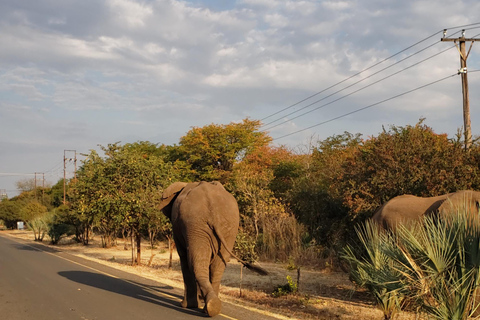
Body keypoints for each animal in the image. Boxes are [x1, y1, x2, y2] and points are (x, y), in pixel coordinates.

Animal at [159, 181, 268, 316]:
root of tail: (214, 212)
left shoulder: (178, 228)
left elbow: (183, 257)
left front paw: (186, 305)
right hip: (227, 228)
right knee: (217, 265)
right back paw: (212, 307)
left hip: (195, 224)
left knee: (196, 262)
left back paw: (205, 306)